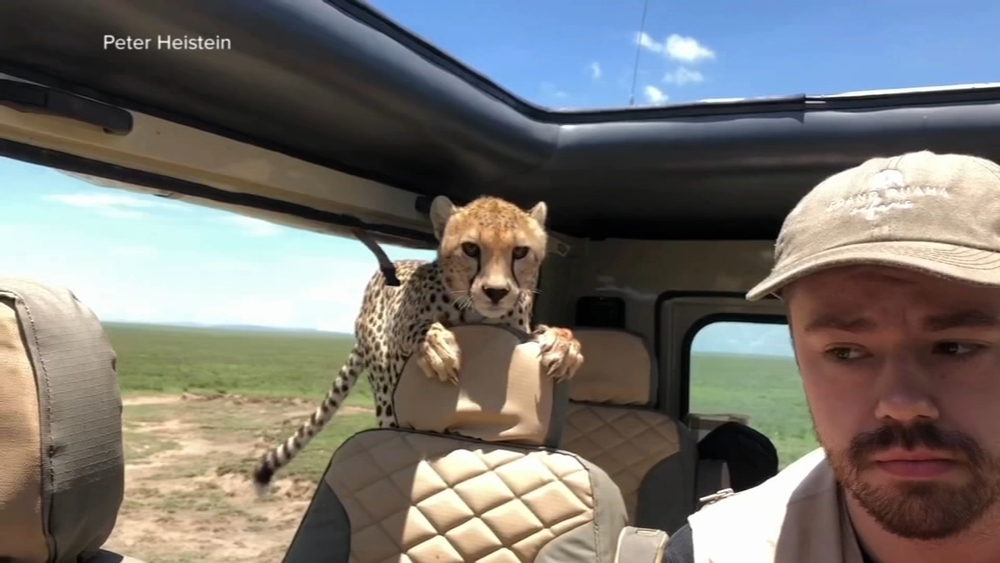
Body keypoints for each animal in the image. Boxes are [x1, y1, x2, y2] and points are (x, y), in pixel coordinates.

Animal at [251, 194, 584, 492]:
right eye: (471, 248)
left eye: (520, 252)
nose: (496, 292)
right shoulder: (402, 331)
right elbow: (416, 327)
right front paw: (436, 348)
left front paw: (564, 346)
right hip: (384, 390)